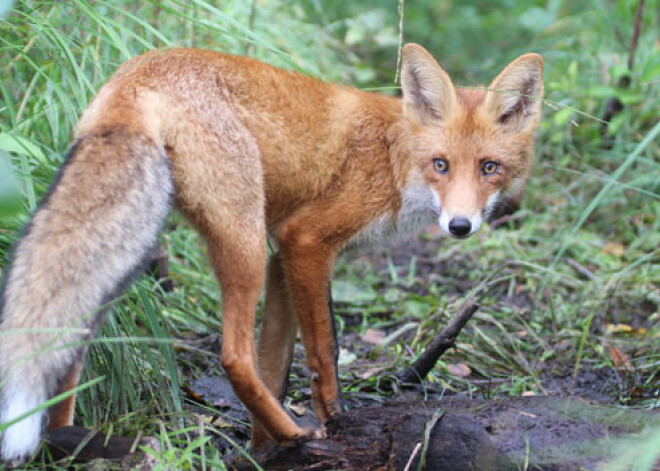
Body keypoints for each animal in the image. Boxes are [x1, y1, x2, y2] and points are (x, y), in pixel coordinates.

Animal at [0, 44, 540, 464]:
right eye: (441, 165)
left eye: (489, 167)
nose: (459, 225)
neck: (391, 157)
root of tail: (135, 73)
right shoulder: (305, 241)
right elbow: (324, 353)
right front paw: (333, 428)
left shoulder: (285, 257)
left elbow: (276, 362)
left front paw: (262, 452)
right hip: (244, 241)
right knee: (234, 356)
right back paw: (295, 433)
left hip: (132, 250)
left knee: (71, 351)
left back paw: (68, 442)